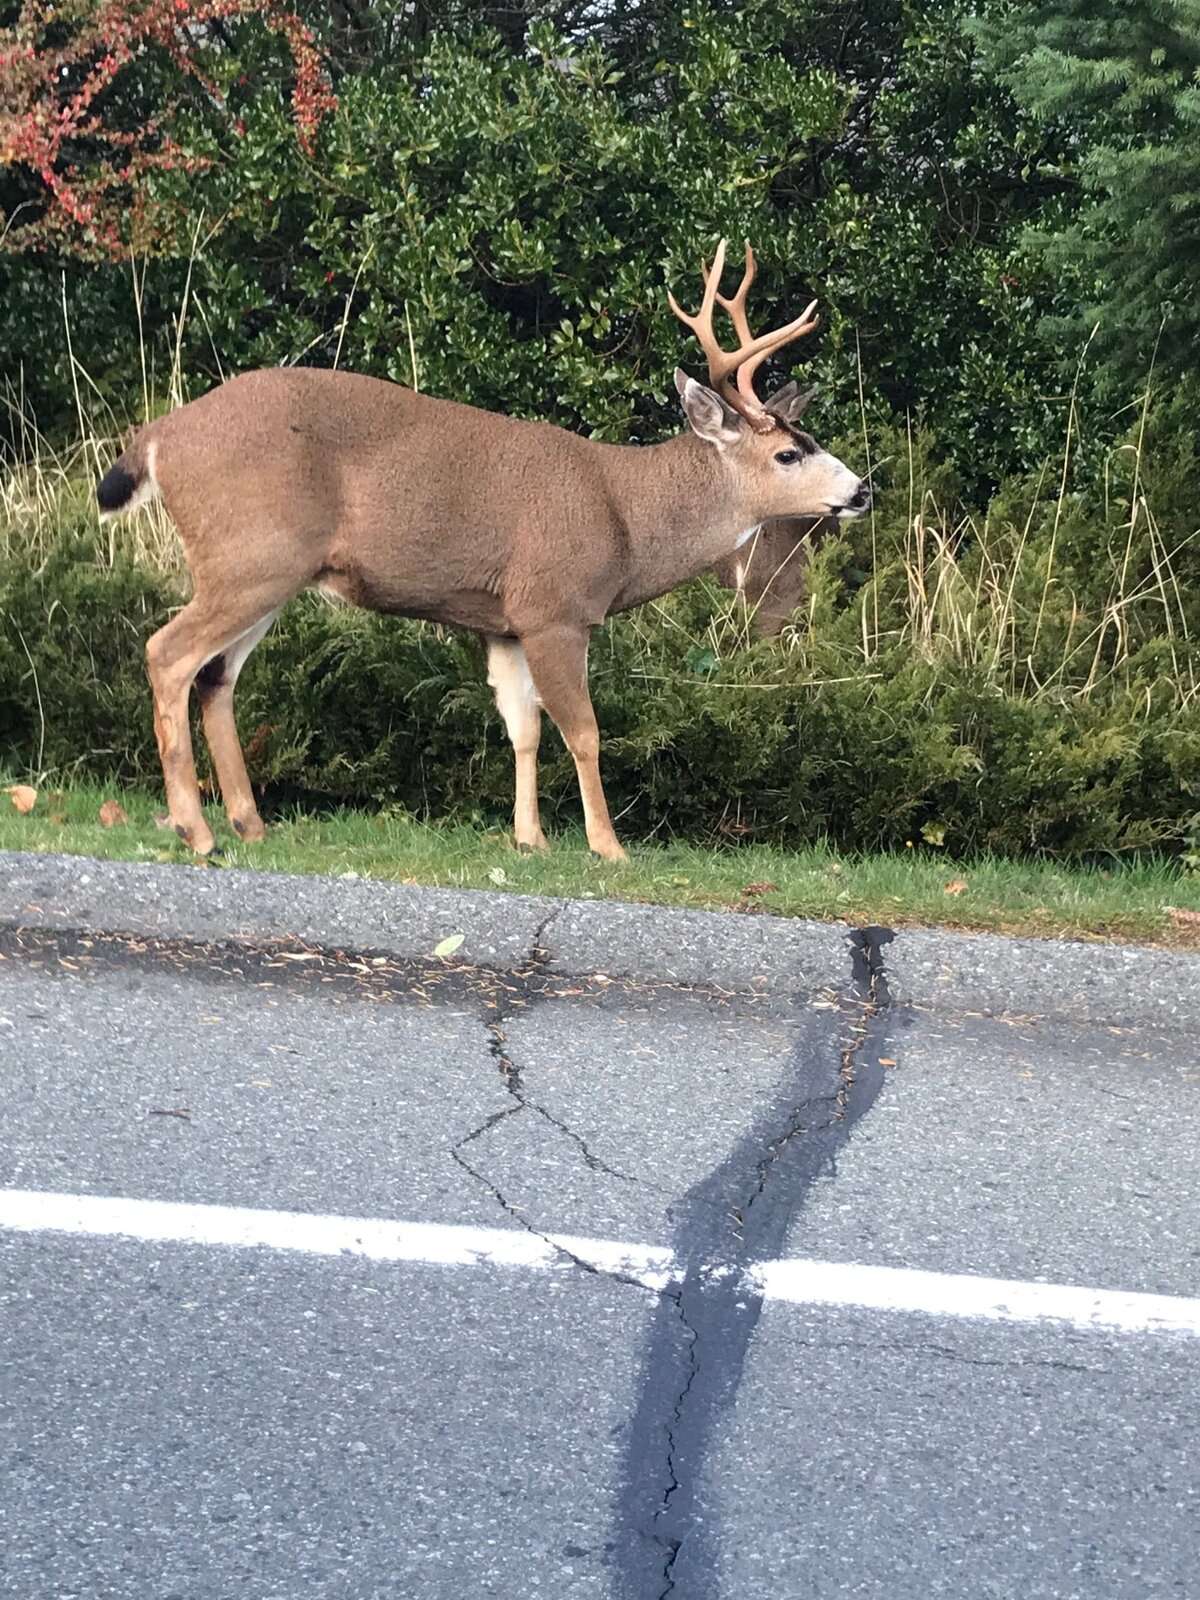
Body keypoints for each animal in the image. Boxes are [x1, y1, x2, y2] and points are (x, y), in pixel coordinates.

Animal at [96, 239, 870, 862]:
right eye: (789, 453)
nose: (861, 489)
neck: (625, 514)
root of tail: (157, 438)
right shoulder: (554, 607)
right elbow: (583, 730)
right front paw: (607, 846)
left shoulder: (503, 623)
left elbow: (522, 728)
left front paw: (529, 839)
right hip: (250, 555)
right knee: (167, 653)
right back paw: (195, 830)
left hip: (267, 569)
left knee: (216, 675)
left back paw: (251, 824)